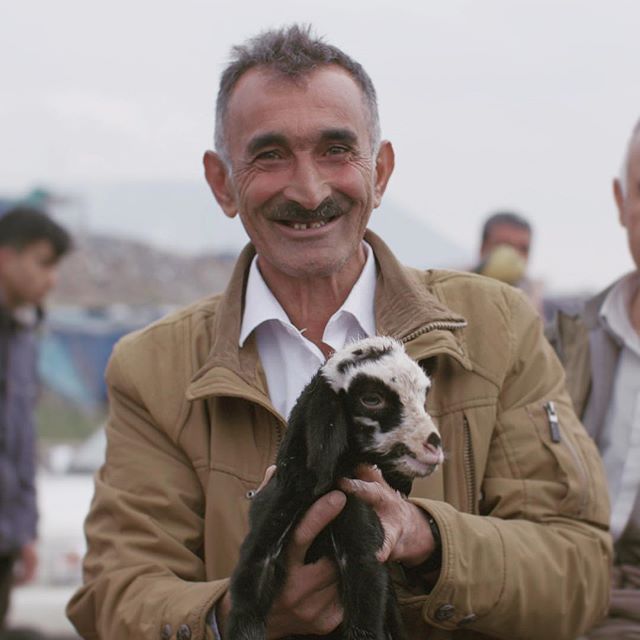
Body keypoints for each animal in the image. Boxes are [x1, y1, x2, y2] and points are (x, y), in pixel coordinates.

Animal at [228, 338, 442, 636]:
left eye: (424, 397)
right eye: (371, 399)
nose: (434, 445)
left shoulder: (361, 555)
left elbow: (364, 625)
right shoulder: (261, 548)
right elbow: (246, 614)